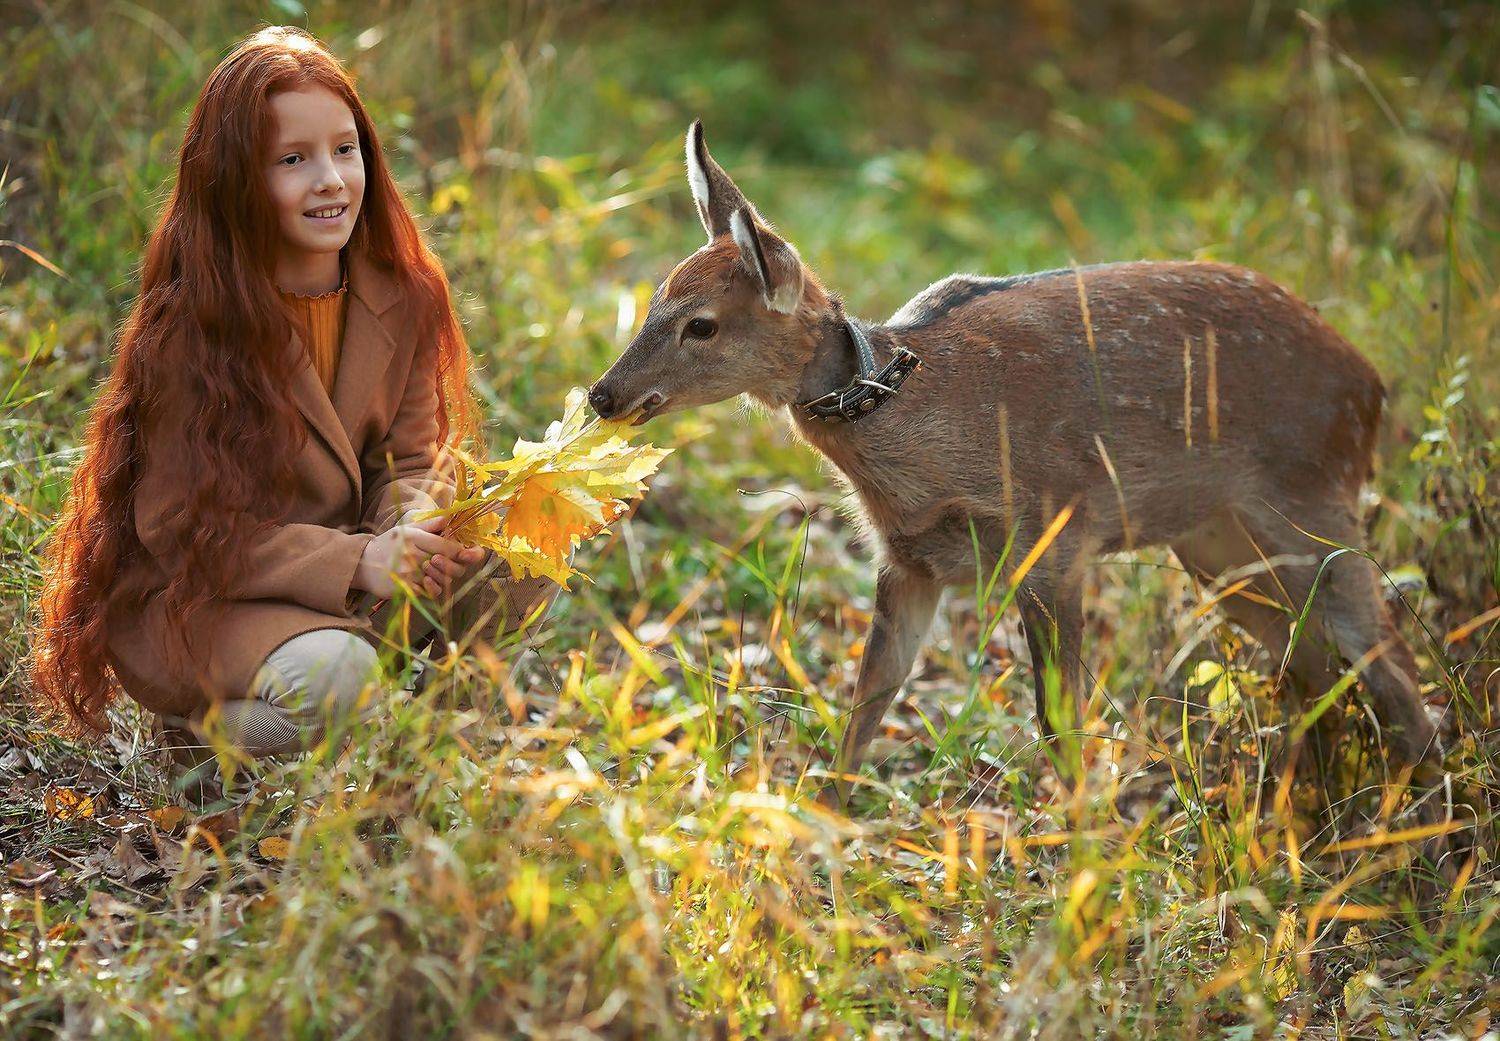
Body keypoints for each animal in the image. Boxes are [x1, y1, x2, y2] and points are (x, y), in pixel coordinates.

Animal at [588, 120, 1446, 825]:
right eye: (657, 297)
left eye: (702, 325)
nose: (603, 394)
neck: (929, 432)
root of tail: (1373, 387)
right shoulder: (909, 560)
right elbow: (869, 697)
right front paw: (820, 827)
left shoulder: (1056, 536)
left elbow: (1057, 717)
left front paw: (1079, 853)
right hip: (1216, 547)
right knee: (1316, 665)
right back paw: (1305, 812)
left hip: (1314, 505)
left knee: (1395, 667)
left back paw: (1416, 831)